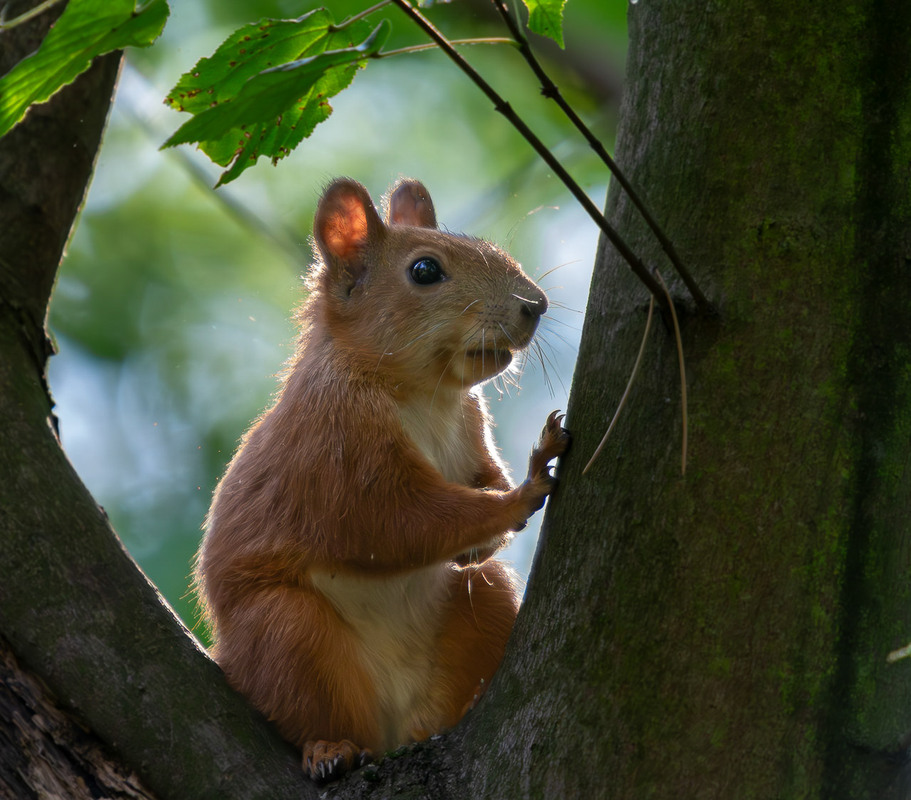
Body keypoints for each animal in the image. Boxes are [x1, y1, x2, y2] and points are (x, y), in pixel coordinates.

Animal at [198, 177, 568, 780]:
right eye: (424, 270)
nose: (534, 304)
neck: (423, 395)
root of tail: (394, 726)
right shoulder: (339, 450)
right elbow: (398, 523)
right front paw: (523, 493)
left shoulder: (471, 432)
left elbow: (477, 484)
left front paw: (507, 498)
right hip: (285, 632)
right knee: (309, 703)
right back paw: (329, 748)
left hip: (483, 605)